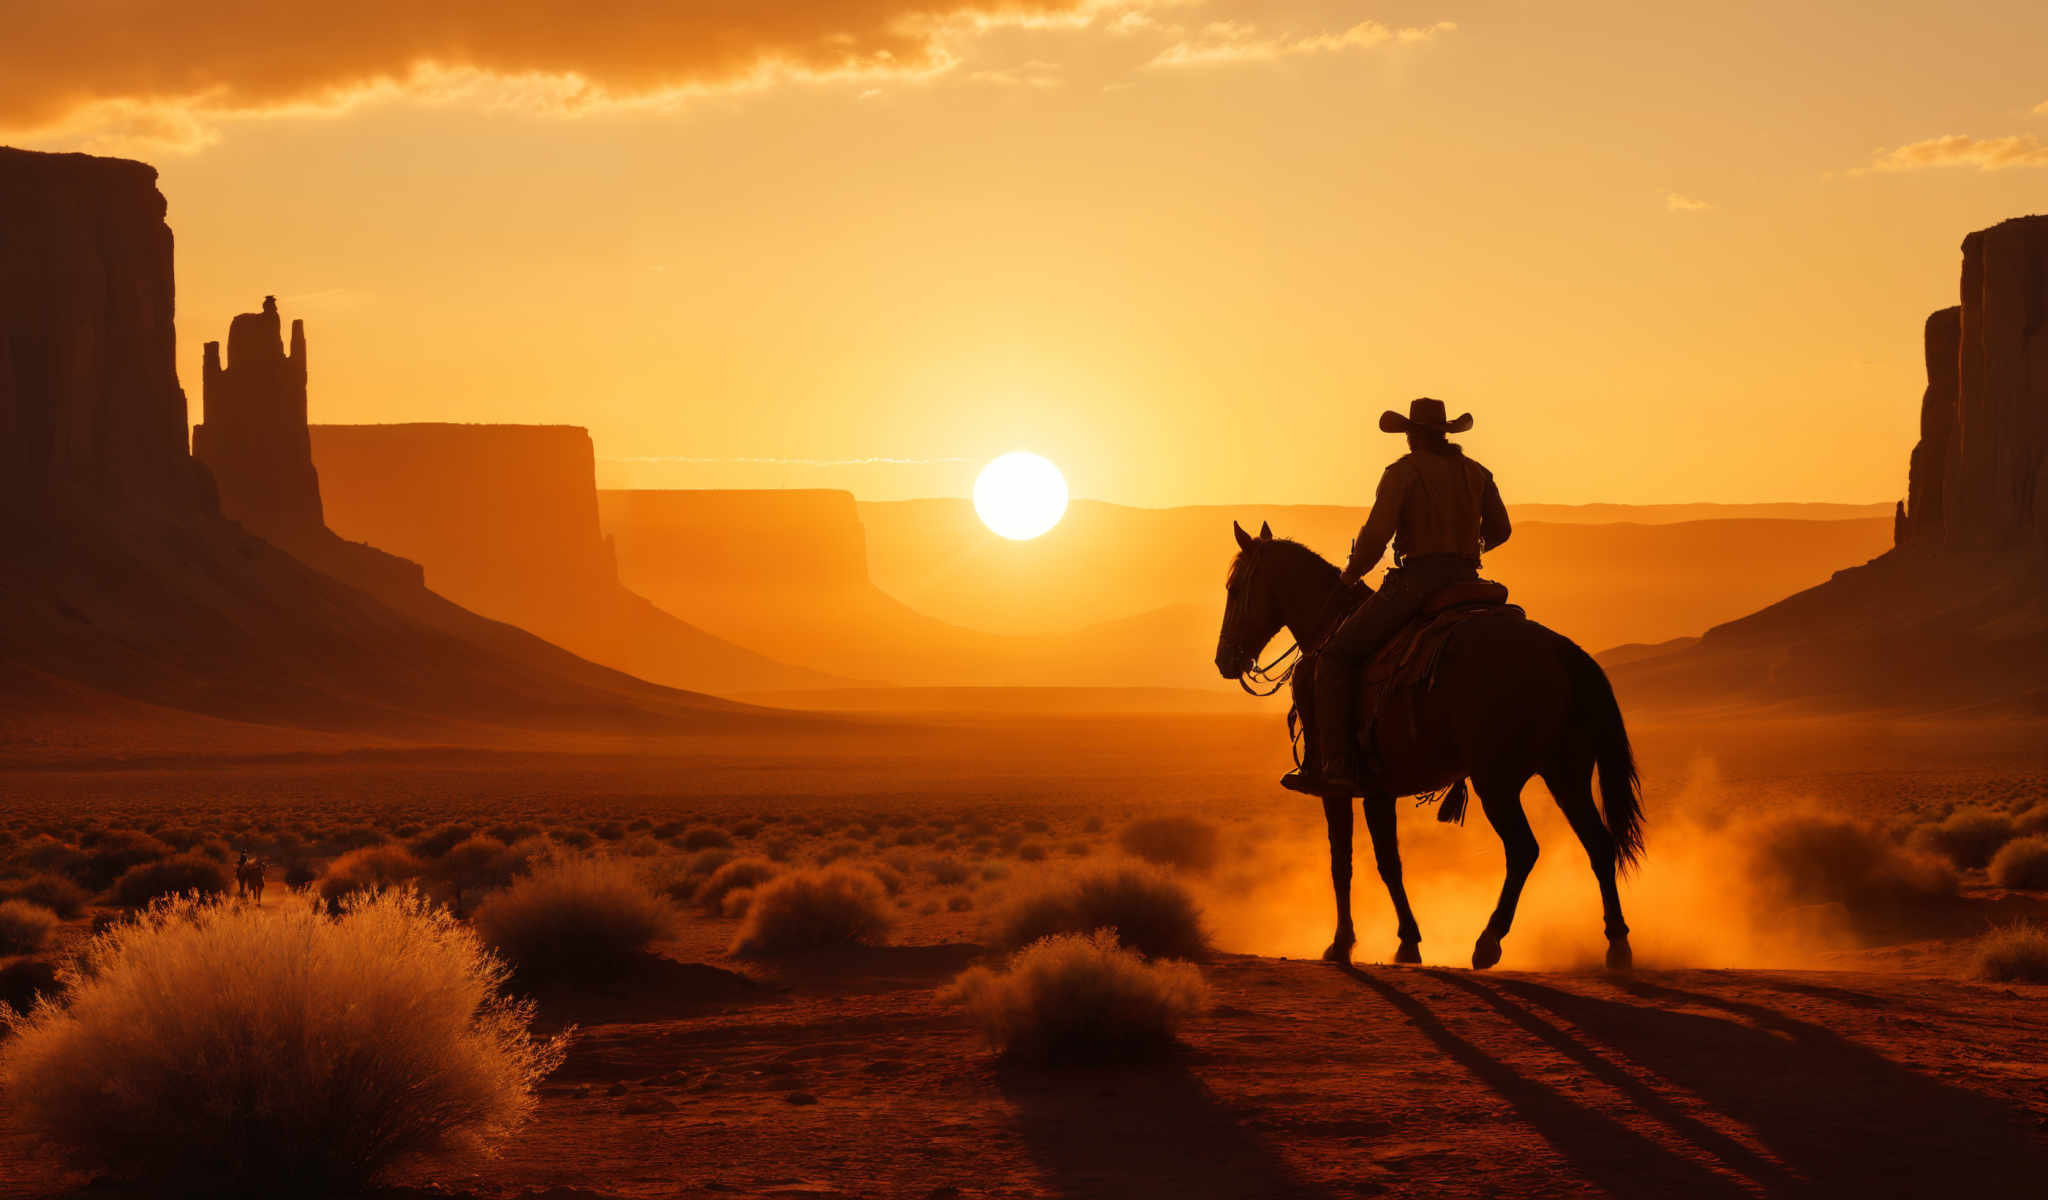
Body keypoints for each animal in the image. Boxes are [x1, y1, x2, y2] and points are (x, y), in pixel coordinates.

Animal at [1212, 518, 1646, 966]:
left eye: (1234, 588)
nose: (1224, 659)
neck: (1327, 628)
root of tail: (1562, 651)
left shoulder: (1335, 787)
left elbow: (1343, 861)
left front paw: (1342, 942)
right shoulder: (1378, 789)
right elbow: (1389, 862)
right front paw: (1406, 941)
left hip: (1498, 782)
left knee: (1524, 850)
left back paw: (1488, 941)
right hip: (1565, 775)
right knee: (1600, 845)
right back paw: (1617, 944)